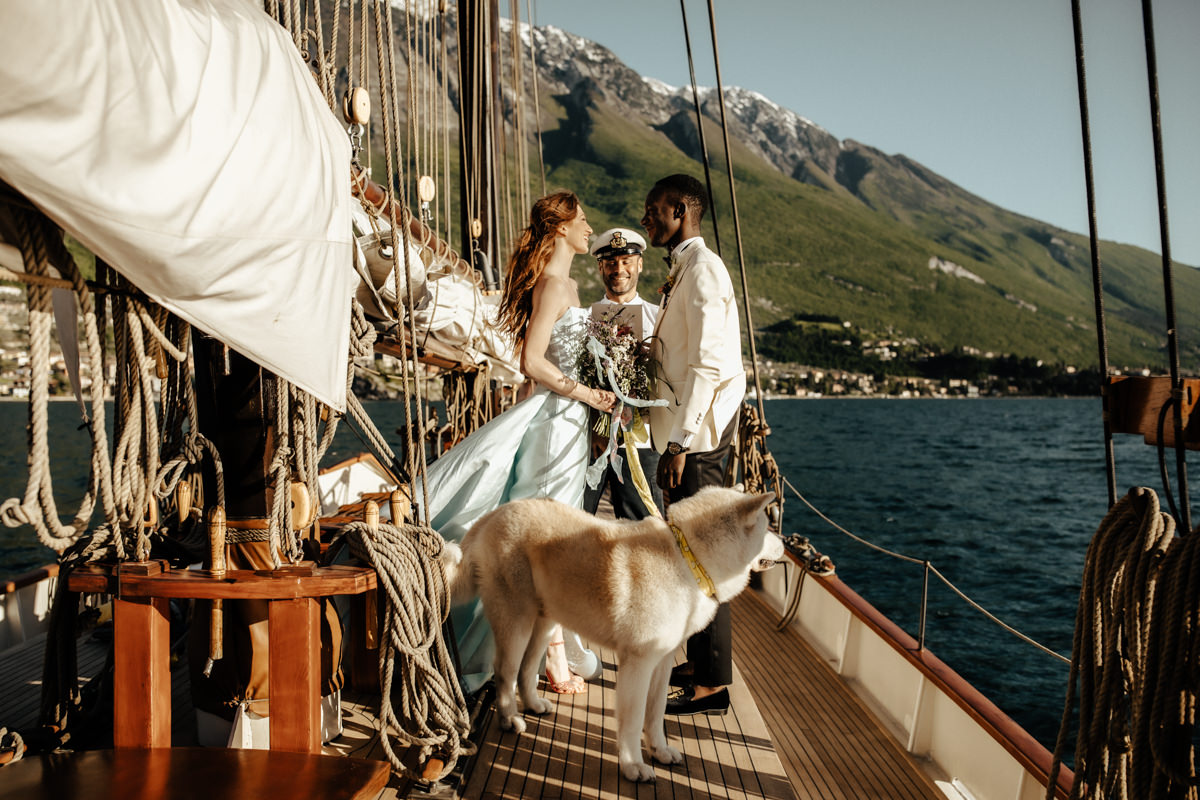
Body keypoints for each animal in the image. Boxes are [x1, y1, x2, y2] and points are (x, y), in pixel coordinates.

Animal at [444, 489, 787, 782]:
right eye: (767, 527)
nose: (784, 543)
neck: (688, 559)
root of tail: (492, 515)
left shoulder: (662, 663)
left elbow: (655, 714)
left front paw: (660, 752)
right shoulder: (638, 665)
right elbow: (633, 722)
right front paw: (634, 766)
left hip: (544, 622)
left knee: (527, 669)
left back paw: (533, 705)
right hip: (517, 622)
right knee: (505, 672)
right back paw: (510, 719)